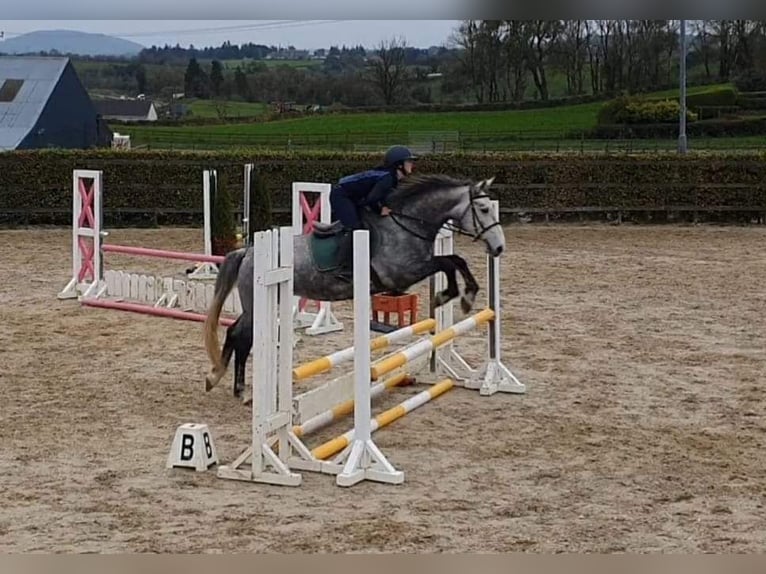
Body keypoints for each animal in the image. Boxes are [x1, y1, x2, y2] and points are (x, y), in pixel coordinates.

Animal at [202, 173, 510, 398]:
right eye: (483, 208)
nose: (498, 248)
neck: (407, 224)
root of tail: (248, 251)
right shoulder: (402, 273)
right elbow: (447, 262)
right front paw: (453, 296)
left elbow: (455, 260)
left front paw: (463, 295)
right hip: (258, 303)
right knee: (242, 336)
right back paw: (237, 388)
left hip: (260, 301)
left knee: (234, 332)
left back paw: (216, 376)